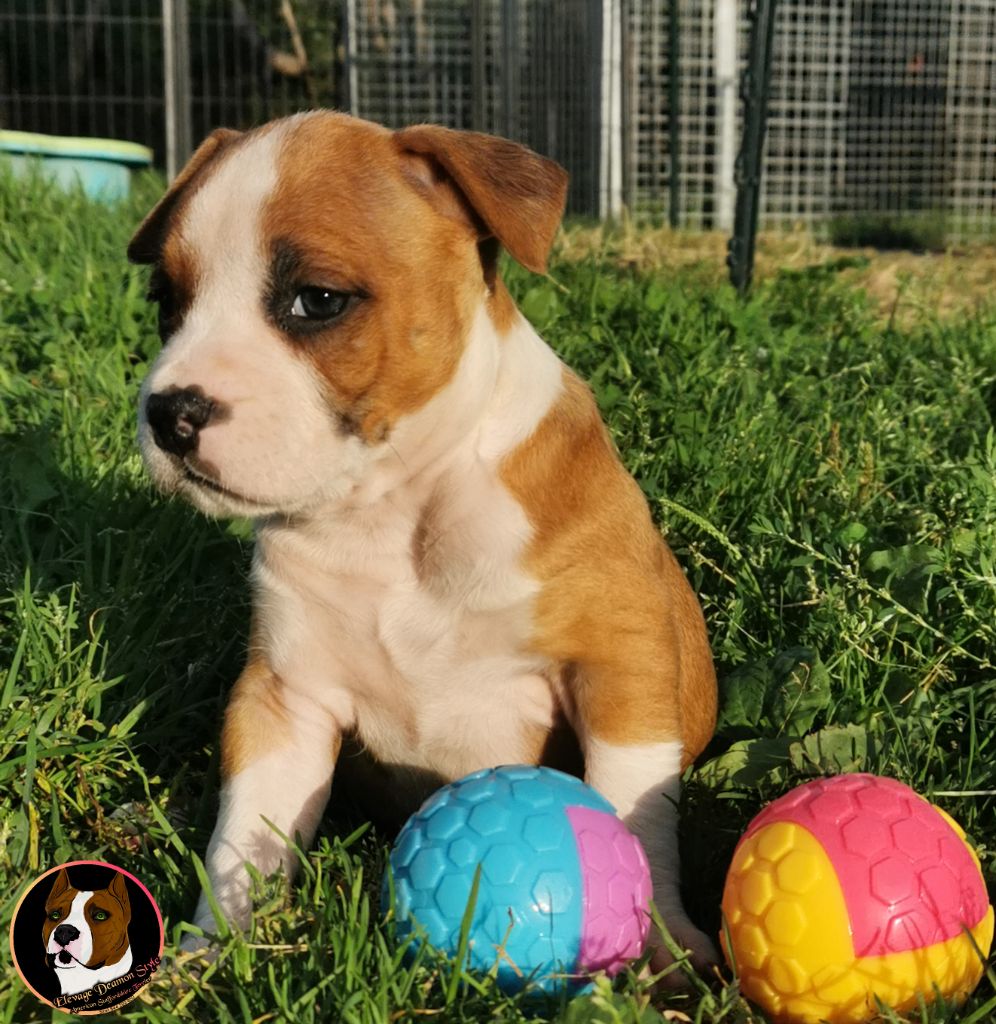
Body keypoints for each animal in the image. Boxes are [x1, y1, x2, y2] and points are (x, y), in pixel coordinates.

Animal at [127, 111, 718, 971]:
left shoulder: (621, 666)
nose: (170, 412)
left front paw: (665, 951)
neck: (398, 515)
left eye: (317, 300)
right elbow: (245, 836)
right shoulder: (285, 696)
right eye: (167, 302)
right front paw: (212, 953)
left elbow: (637, 810)